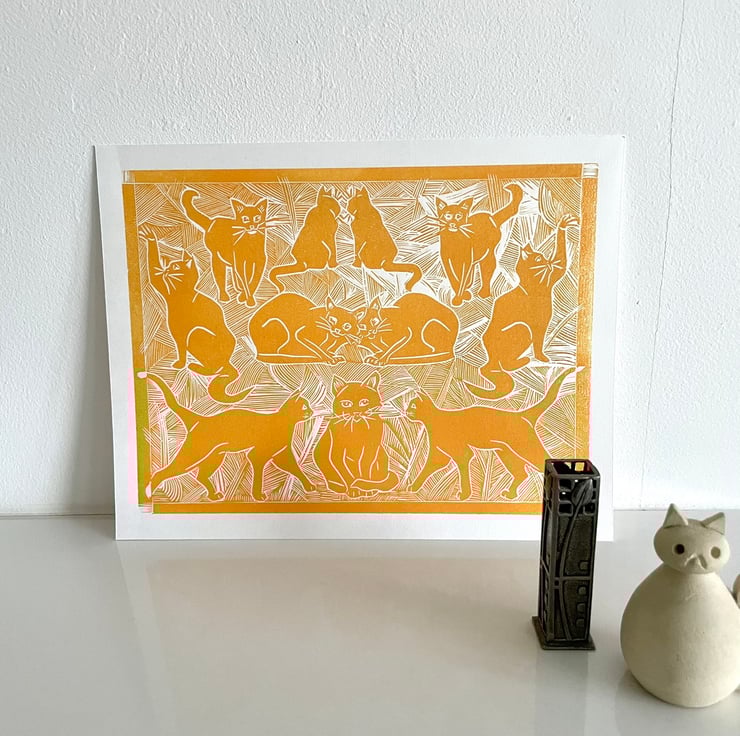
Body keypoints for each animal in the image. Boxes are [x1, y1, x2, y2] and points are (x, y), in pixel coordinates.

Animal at [141, 225, 250, 403]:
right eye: (169, 265)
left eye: (175, 267)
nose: (167, 270)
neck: (182, 294)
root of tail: (228, 361)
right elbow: (155, 271)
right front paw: (151, 238)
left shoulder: (182, 333)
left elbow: (181, 350)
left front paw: (180, 364)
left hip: (197, 334)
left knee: (215, 368)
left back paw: (196, 367)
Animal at [142, 372, 315, 501]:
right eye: (305, 406)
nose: (312, 411)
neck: (285, 423)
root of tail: (201, 418)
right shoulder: (257, 456)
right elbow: (258, 477)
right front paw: (257, 495)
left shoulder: (282, 455)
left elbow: (297, 469)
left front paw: (309, 486)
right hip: (194, 457)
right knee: (161, 472)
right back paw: (150, 494)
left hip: (215, 457)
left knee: (200, 476)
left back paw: (213, 496)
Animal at [407, 367, 574, 500]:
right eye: (408, 405)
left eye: (413, 406)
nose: (405, 411)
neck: (434, 421)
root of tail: (520, 414)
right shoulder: (439, 456)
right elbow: (425, 470)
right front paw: (414, 487)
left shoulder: (462, 454)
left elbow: (463, 475)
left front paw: (465, 495)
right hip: (506, 454)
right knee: (522, 473)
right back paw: (511, 495)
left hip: (527, 451)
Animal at [473, 214, 578, 399]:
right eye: (538, 258)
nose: (547, 262)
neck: (532, 286)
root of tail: (489, 361)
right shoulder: (537, 325)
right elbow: (538, 343)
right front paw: (541, 357)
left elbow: (560, 261)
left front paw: (563, 225)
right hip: (521, 328)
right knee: (505, 363)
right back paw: (521, 361)